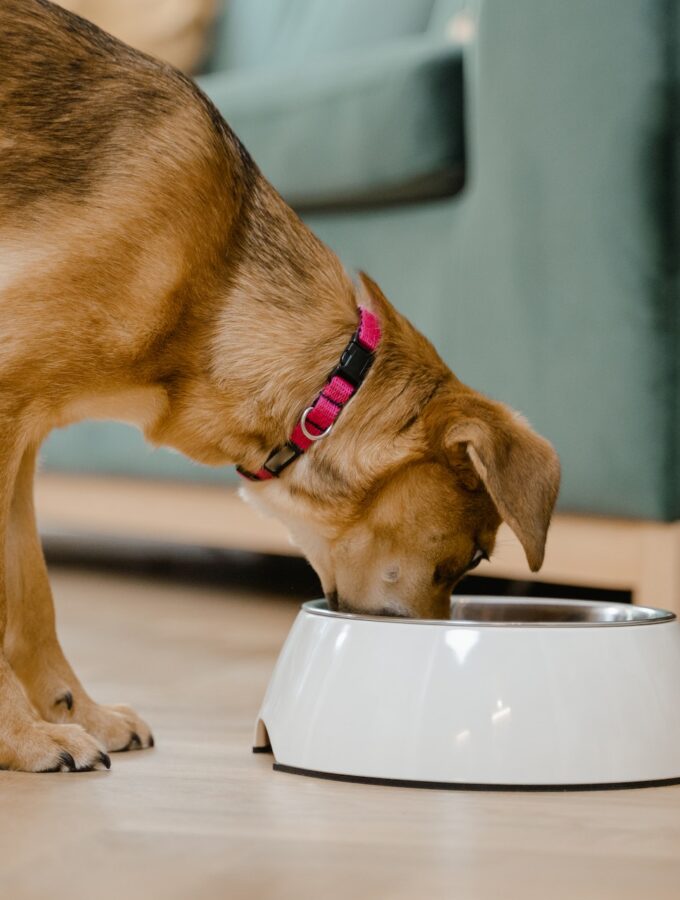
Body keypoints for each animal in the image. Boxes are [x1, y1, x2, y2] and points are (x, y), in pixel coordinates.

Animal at [0, 1, 560, 772]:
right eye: (475, 555)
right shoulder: (6, 415)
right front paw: (25, 737)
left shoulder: (26, 439)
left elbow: (32, 598)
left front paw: (78, 713)